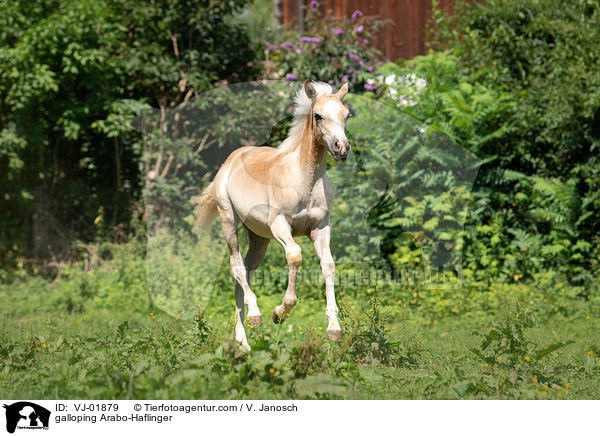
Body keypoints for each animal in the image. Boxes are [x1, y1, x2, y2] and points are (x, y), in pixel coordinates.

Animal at [195, 79, 350, 350]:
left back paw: (242, 343)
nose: (341, 148)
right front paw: (279, 313)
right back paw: (255, 316)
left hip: (259, 238)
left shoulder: (321, 227)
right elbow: (295, 256)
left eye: (346, 115)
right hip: (229, 222)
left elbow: (328, 266)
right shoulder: (280, 224)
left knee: (246, 272)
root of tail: (231, 159)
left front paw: (334, 329)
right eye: (318, 116)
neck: (305, 180)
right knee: (237, 267)